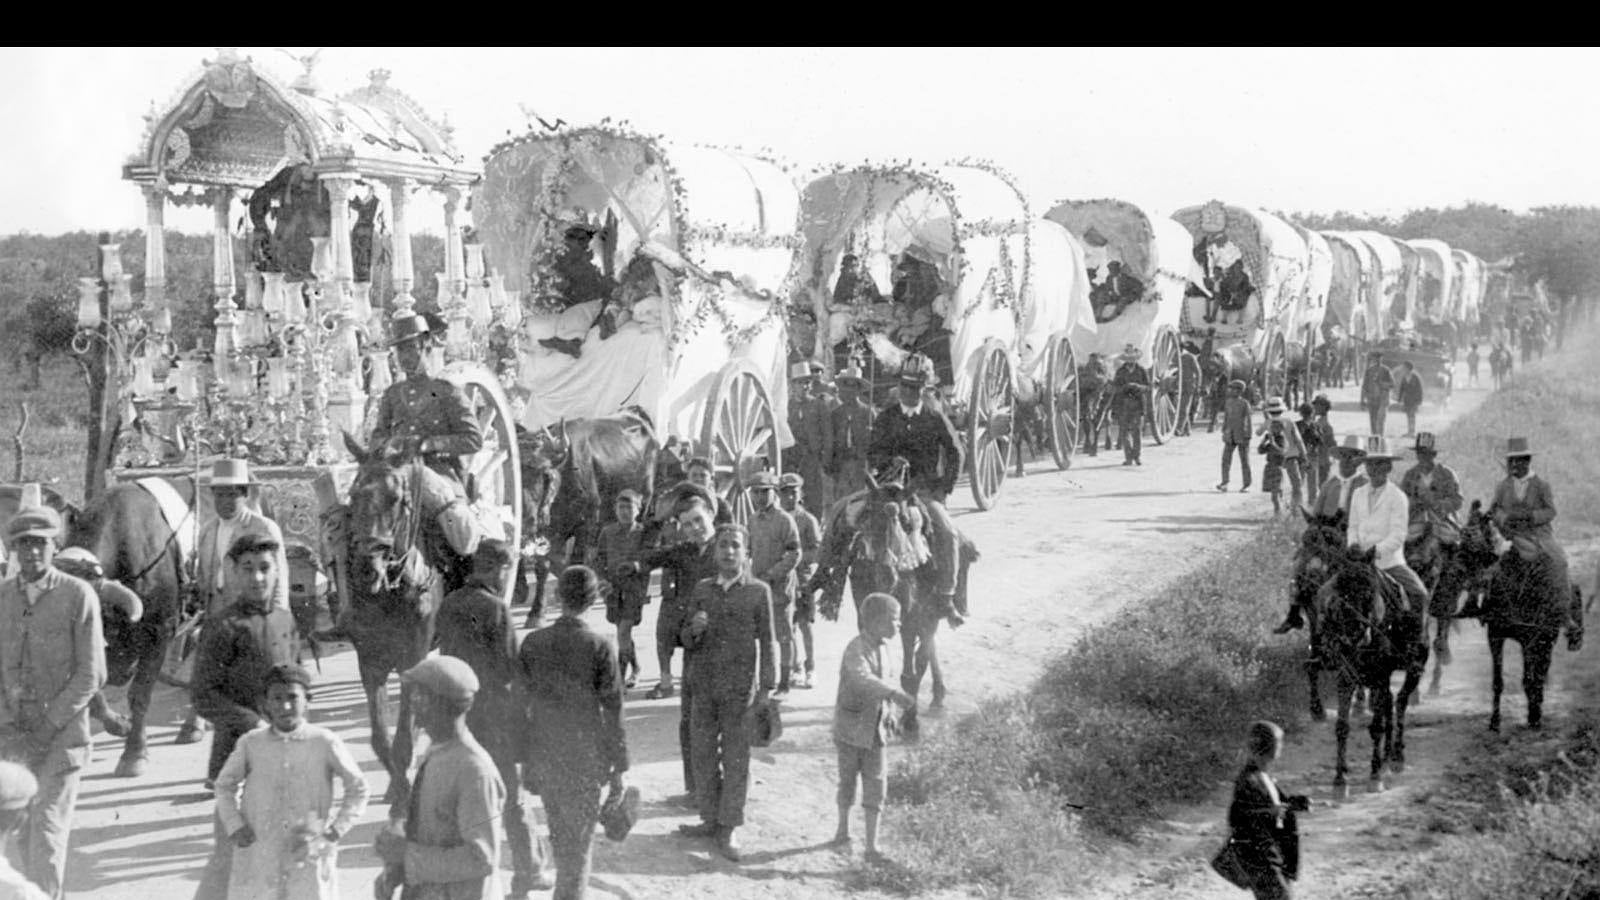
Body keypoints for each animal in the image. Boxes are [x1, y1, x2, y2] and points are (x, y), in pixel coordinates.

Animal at [331, 432, 467, 797]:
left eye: (395, 499)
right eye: (354, 495)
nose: (367, 569)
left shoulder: (413, 655)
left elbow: (403, 733)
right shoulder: (369, 659)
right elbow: (380, 738)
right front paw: (397, 782)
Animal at [812, 461, 972, 736]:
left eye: (907, 523)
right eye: (870, 520)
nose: (886, 574)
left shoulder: (920, 617)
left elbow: (915, 668)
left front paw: (911, 721)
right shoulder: (866, 611)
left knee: (928, 645)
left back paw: (937, 696)